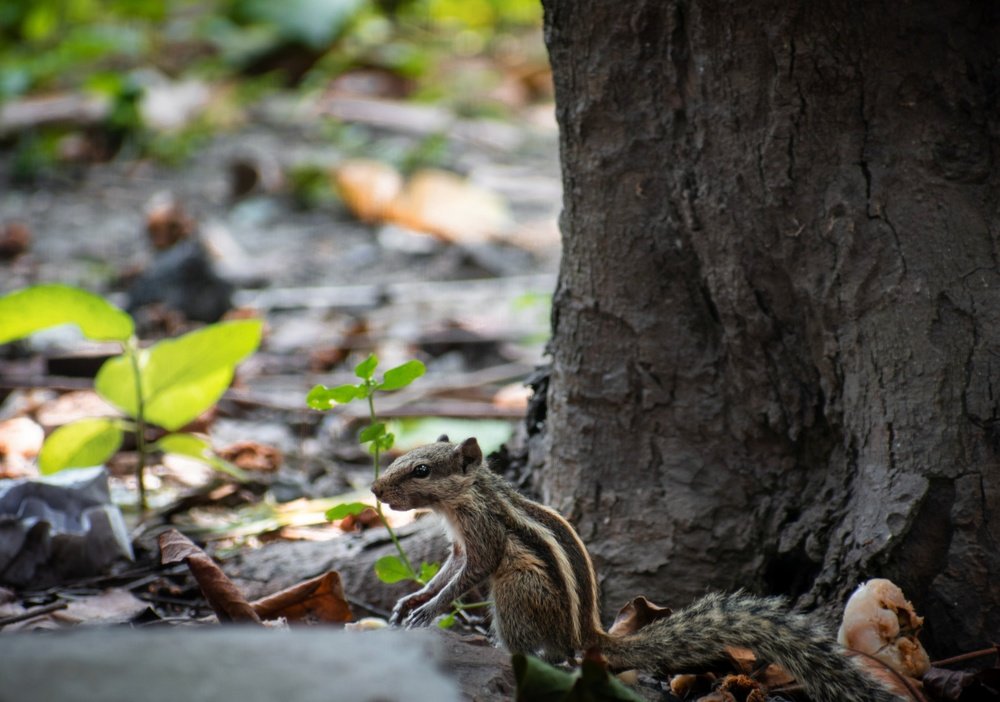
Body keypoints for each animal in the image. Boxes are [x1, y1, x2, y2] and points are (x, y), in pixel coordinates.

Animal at [371, 436, 905, 702]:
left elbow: (467, 575)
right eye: (406, 458)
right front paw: (412, 600)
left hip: (517, 590)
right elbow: (447, 571)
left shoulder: (482, 539)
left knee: (544, 653)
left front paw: (427, 611)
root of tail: (588, 635)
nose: (375, 489)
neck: (468, 496)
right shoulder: (459, 545)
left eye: (421, 470)